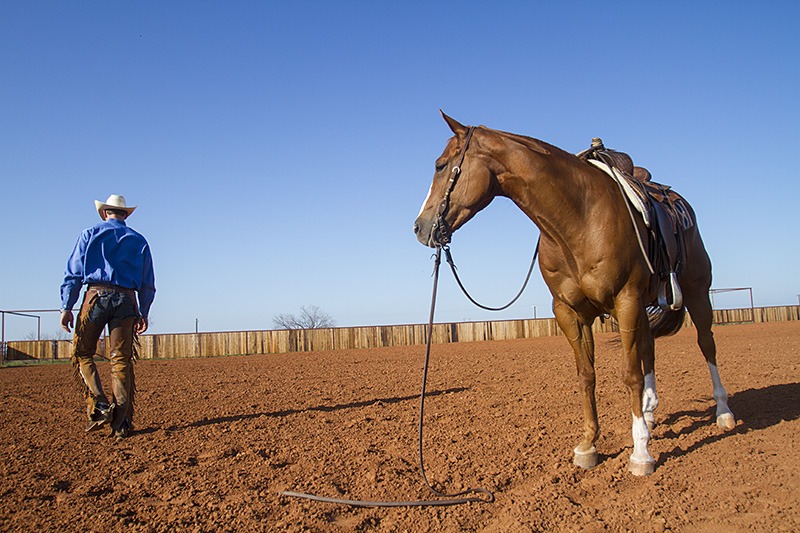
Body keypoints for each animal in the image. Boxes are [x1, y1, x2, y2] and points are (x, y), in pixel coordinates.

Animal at [413, 112, 736, 476]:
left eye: (440, 165)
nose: (420, 227)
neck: (579, 220)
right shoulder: (570, 312)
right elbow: (587, 376)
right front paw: (588, 445)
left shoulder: (626, 300)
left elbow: (630, 375)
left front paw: (641, 453)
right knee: (648, 348)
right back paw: (650, 413)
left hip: (696, 291)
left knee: (706, 343)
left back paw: (723, 412)